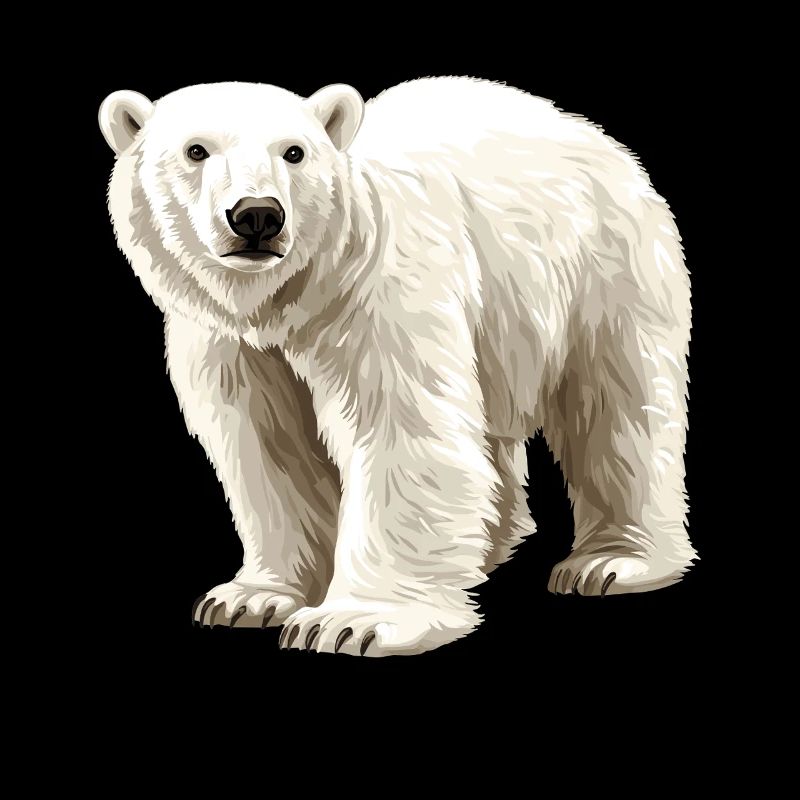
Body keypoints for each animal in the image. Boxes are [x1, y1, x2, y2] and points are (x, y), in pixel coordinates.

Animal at [99, 78, 695, 657]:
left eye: (294, 152)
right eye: (195, 150)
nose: (258, 215)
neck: (289, 298)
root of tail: (599, 139)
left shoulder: (377, 291)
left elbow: (397, 427)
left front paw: (353, 623)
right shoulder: (229, 340)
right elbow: (270, 443)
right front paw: (252, 597)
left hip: (602, 266)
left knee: (617, 401)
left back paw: (613, 560)